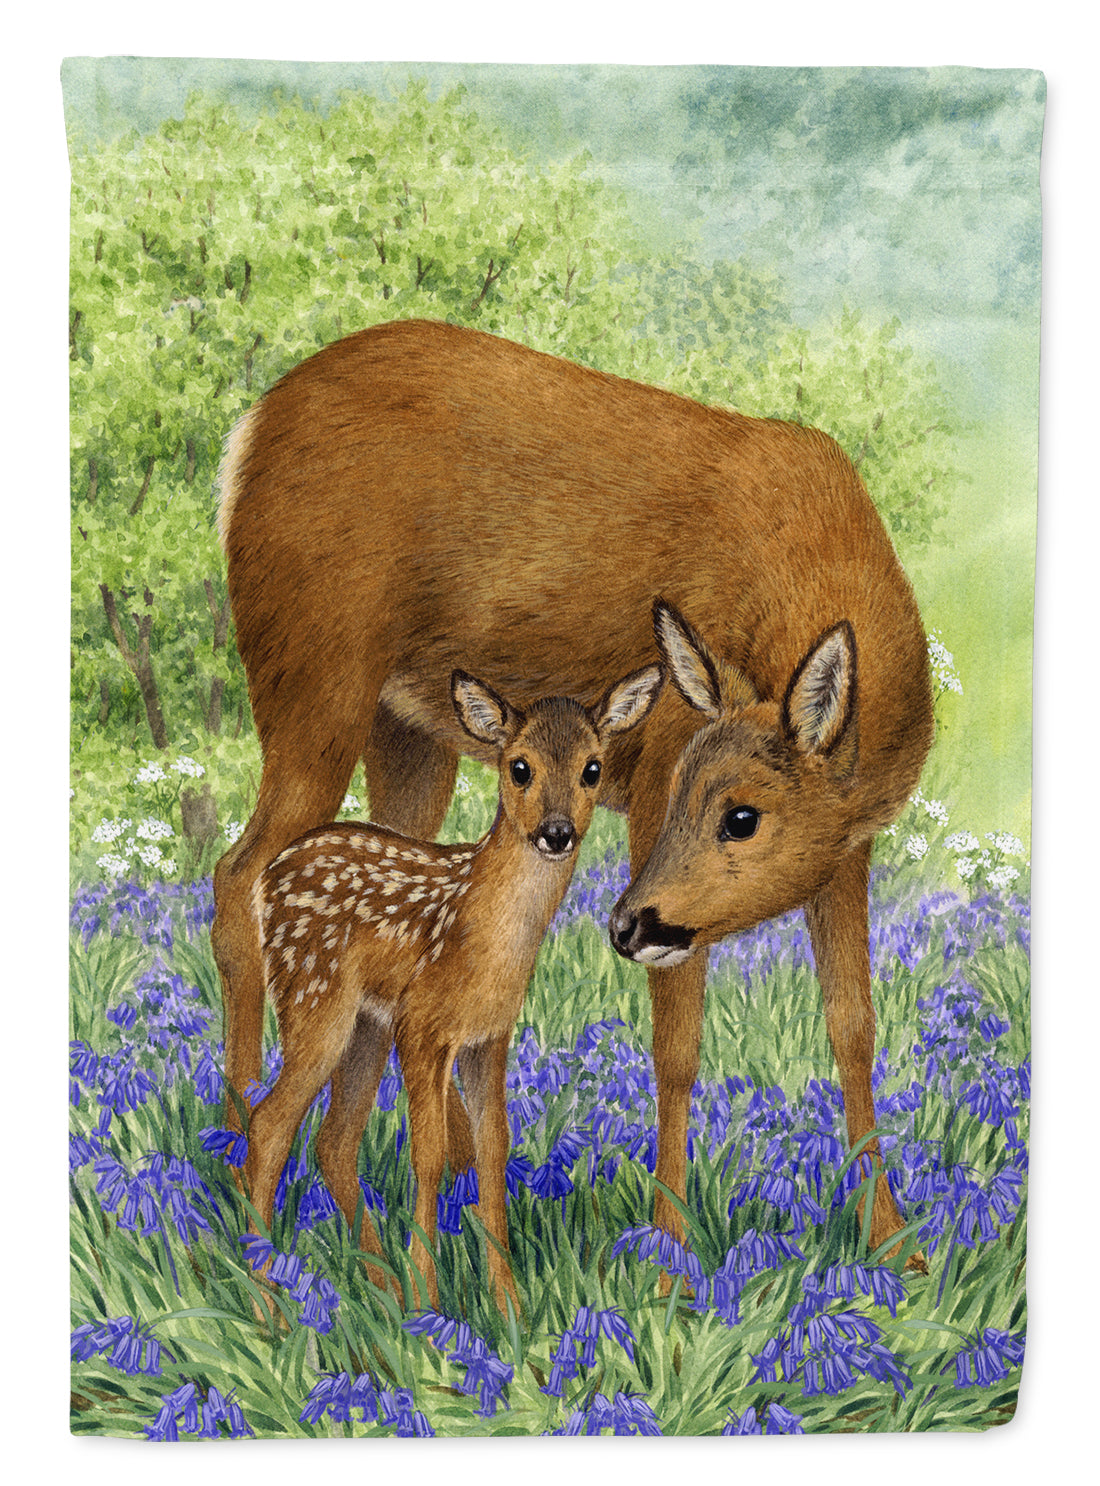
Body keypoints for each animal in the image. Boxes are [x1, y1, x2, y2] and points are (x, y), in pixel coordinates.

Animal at [243, 663, 664, 1313]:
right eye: (519, 766)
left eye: (592, 768)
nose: (557, 832)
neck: (485, 943)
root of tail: (264, 883)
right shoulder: (422, 1026)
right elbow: (431, 1153)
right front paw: (430, 1301)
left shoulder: (487, 1037)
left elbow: (494, 1150)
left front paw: (507, 1303)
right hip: (314, 999)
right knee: (269, 1125)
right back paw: (270, 1304)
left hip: (365, 1024)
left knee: (333, 1141)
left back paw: (380, 1288)